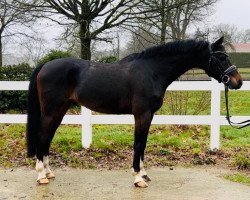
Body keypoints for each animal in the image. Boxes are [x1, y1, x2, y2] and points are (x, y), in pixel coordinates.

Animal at [26, 37, 242, 188]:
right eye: (221, 57)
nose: (237, 82)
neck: (152, 71)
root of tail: (45, 65)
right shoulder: (142, 114)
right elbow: (138, 144)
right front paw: (138, 178)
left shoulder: (149, 115)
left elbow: (143, 144)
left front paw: (144, 173)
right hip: (52, 110)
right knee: (43, 136)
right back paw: (41, 175)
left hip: (60, 110)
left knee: (47, 137)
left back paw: (48, 172)